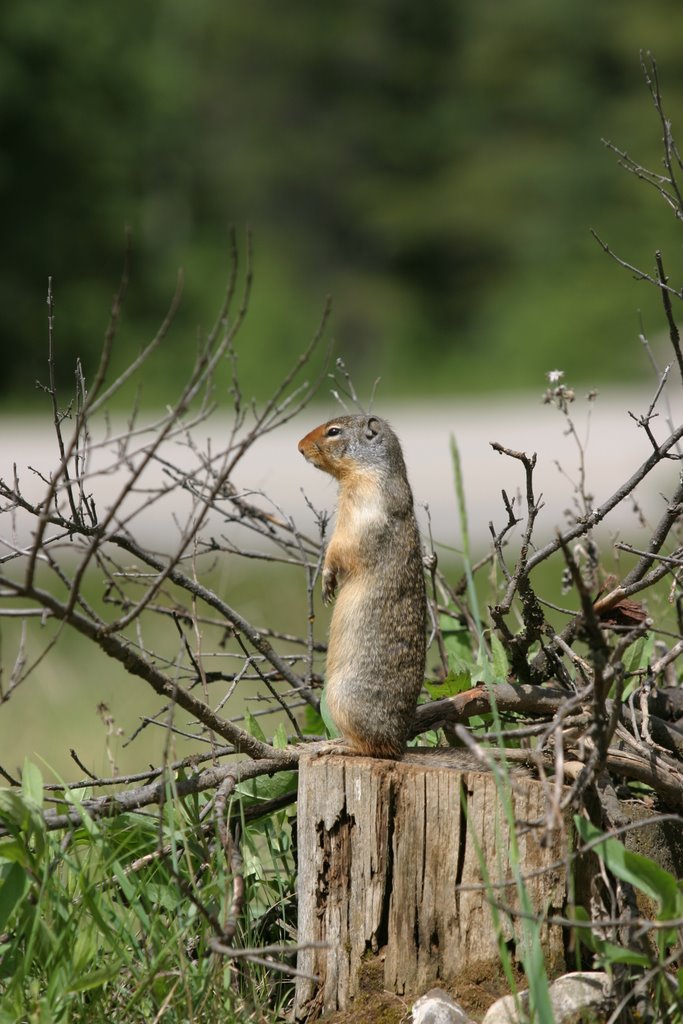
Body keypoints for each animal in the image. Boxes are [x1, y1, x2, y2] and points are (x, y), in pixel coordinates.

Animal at [299, 411, 428, 757]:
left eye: (333, 431)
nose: (300, 446)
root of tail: (400, 743)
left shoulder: (364, 511)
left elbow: (341, 548)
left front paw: (327, 579)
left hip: (342, 698)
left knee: (372, 747)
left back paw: (338, 746)